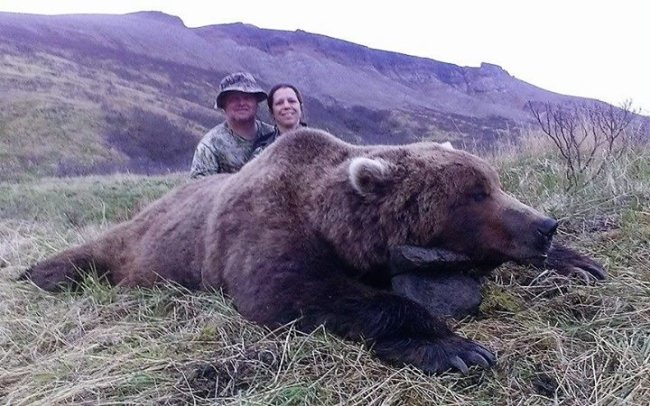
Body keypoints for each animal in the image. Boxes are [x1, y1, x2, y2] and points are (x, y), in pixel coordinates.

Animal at [23, 128, 605, 374]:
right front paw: (453, 346)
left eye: (496, 183)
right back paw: (36, 272)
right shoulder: (265, 230)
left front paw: (578, 260)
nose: (545, 225)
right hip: (135, 243)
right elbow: (293, 290)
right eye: (475, 194)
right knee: (85, 256)